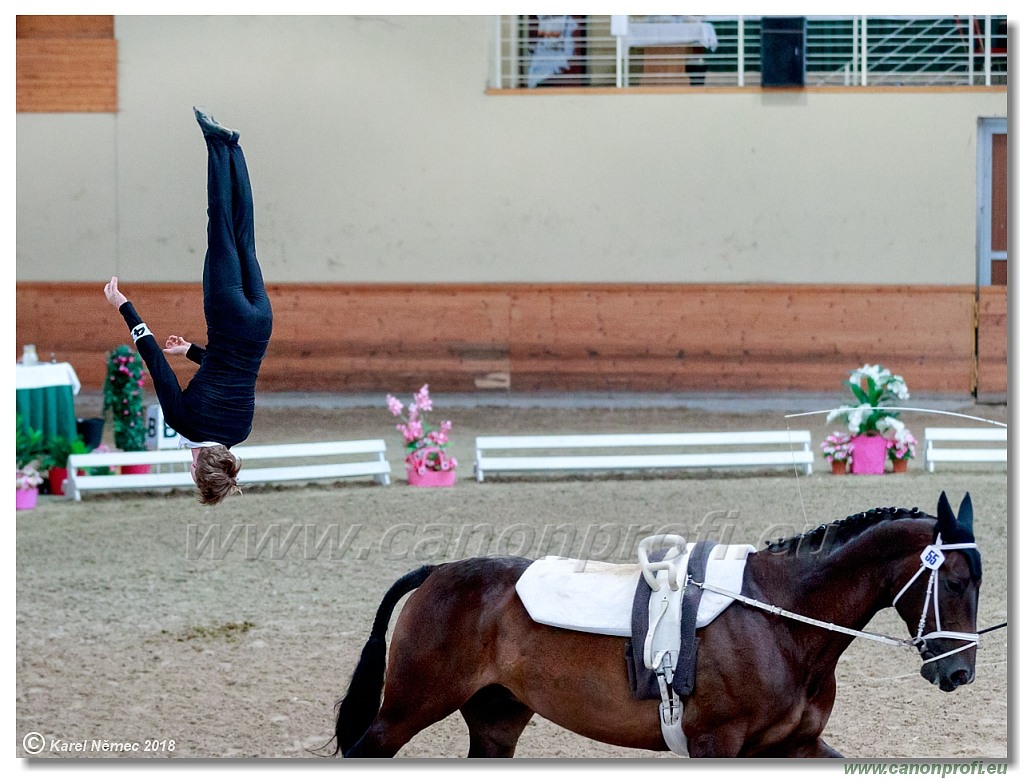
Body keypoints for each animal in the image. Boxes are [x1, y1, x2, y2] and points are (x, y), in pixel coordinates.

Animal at [331, 495, 978, 757]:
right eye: (952, 583)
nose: (960, 673)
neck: (781, 619)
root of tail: (438, 572)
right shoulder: (717, 743)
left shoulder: (792, 744)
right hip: (409, 708)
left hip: (496, 718)